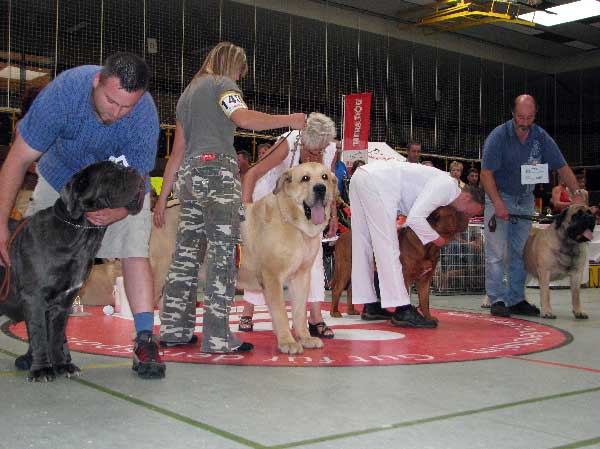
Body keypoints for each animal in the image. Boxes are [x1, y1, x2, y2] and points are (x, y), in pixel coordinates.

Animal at [0, 161, 144, 378]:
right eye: (110, 173)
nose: (135, 170)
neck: (79, 232)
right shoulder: (35, 299)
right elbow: (40, 335)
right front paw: (42, 369)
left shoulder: (63, 302)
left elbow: (56, 336)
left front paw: (62, 365)